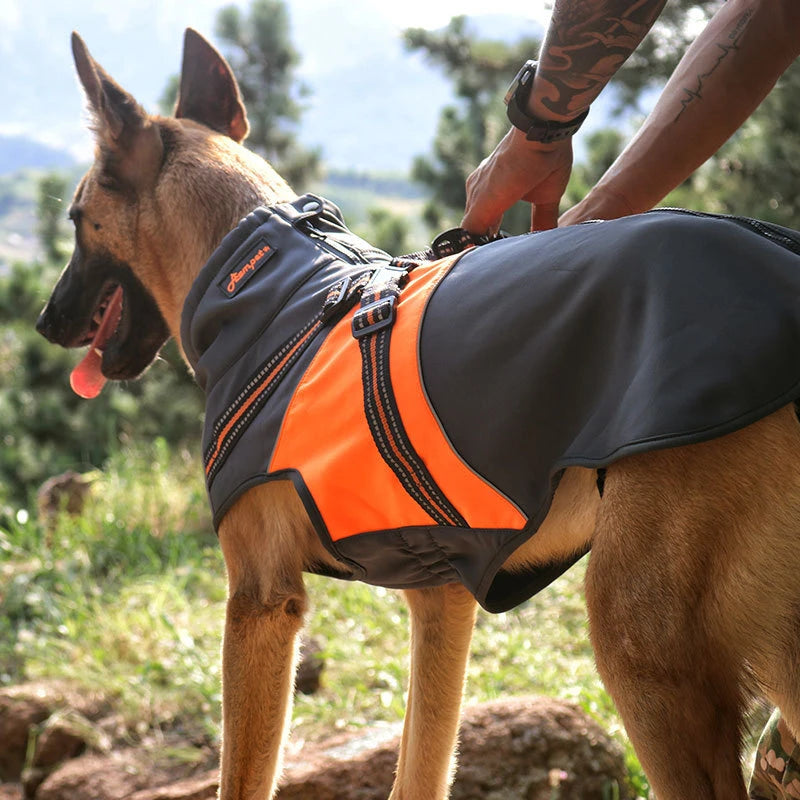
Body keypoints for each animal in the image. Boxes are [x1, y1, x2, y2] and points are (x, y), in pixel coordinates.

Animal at [37, 28, 800, 796]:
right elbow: (421, 764)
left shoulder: (260, 603)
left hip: (643, 649)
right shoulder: (442, 601)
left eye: (74, 219)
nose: (46, 321)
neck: (272, 284)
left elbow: (244, 777)